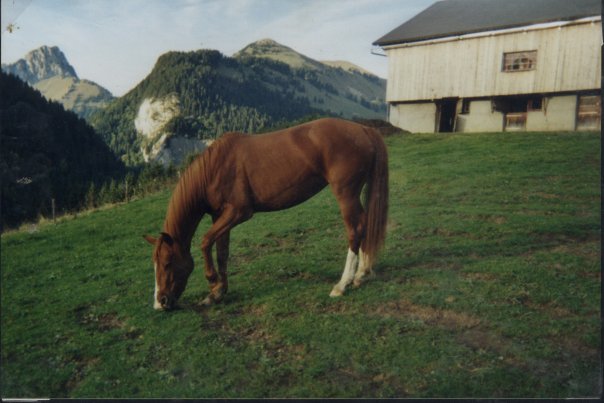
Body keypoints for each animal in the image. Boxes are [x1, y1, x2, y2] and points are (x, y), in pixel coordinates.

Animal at [147, 118, 392, 310]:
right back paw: (361, 274)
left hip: (346, 195)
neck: (215, 168)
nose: (160, 302)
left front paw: (212, 281)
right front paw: (217, 292)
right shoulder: (220, 217)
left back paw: (343, 284)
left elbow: (206, 242)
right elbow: (221, 252)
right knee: (365, 226)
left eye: (168, 262)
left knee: (355, 230)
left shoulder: (238, 212)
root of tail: (364, 130)